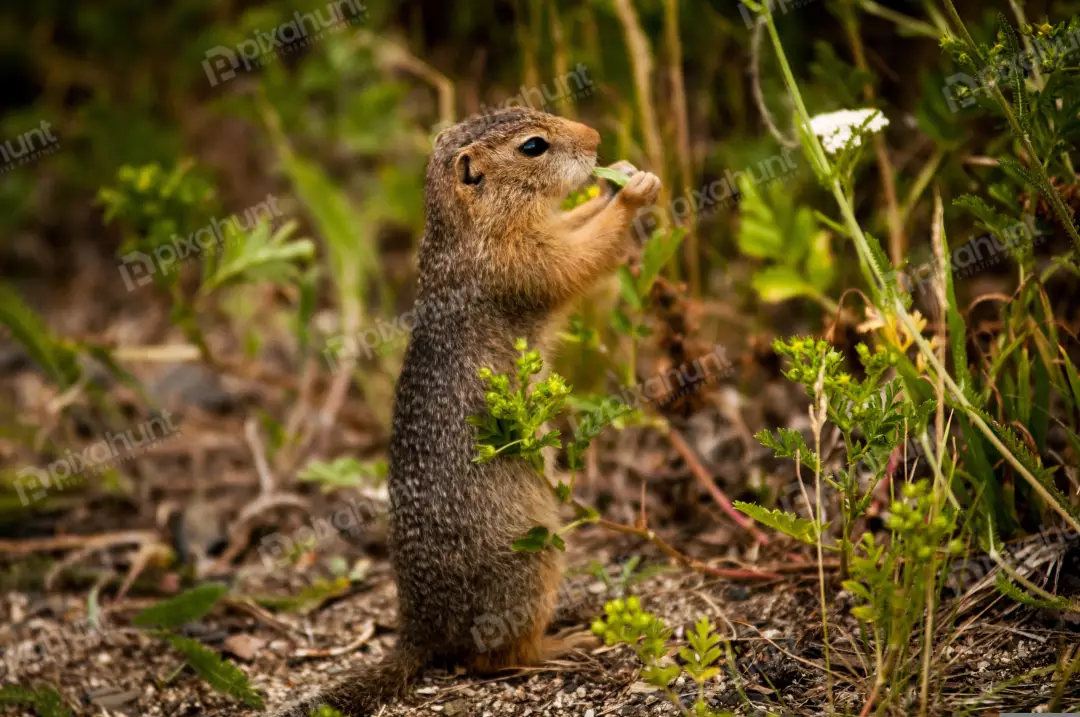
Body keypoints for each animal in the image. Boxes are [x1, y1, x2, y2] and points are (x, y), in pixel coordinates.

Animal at [273, 106, 661, 716]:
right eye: (533, 146)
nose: (597, 137)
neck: (463, 231)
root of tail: (419, 631)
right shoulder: (518, 262)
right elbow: (577, 259)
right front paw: (634, 192)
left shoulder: (540, 233)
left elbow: (576, 225)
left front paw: (615, 178)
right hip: (532, 564)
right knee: (493, 659)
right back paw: (559, 644)